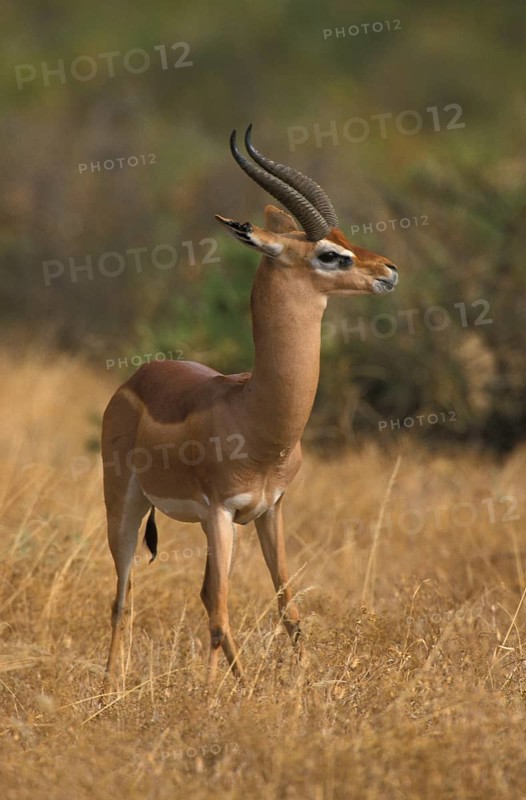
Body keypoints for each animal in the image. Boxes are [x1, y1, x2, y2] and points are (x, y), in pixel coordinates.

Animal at [101, 126, 398, 685]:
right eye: (329, 254)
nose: (389, 271)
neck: (257, 414)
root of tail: (138, 375)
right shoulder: (222, 512)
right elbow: (222, 614)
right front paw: (235, 694)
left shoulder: (270, 509)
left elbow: (288, 608)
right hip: (126, 504)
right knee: (124, 598)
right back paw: (111, 691)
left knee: (198, 594)